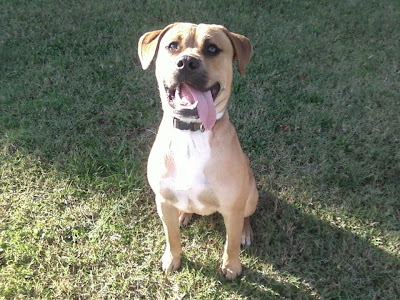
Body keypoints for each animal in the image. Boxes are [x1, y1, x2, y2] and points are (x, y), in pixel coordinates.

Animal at [138, 22, 258, 278]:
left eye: (212, 48)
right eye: (172, 45)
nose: (186, 62)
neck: (191, 133)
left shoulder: (232, 207)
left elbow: (231, 243)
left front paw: (231, 266)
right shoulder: (163, 201)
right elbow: (171, 236)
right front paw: (172, 259)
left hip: (251, 195)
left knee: (246, 216)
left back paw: (245, 231)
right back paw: (184, 214)